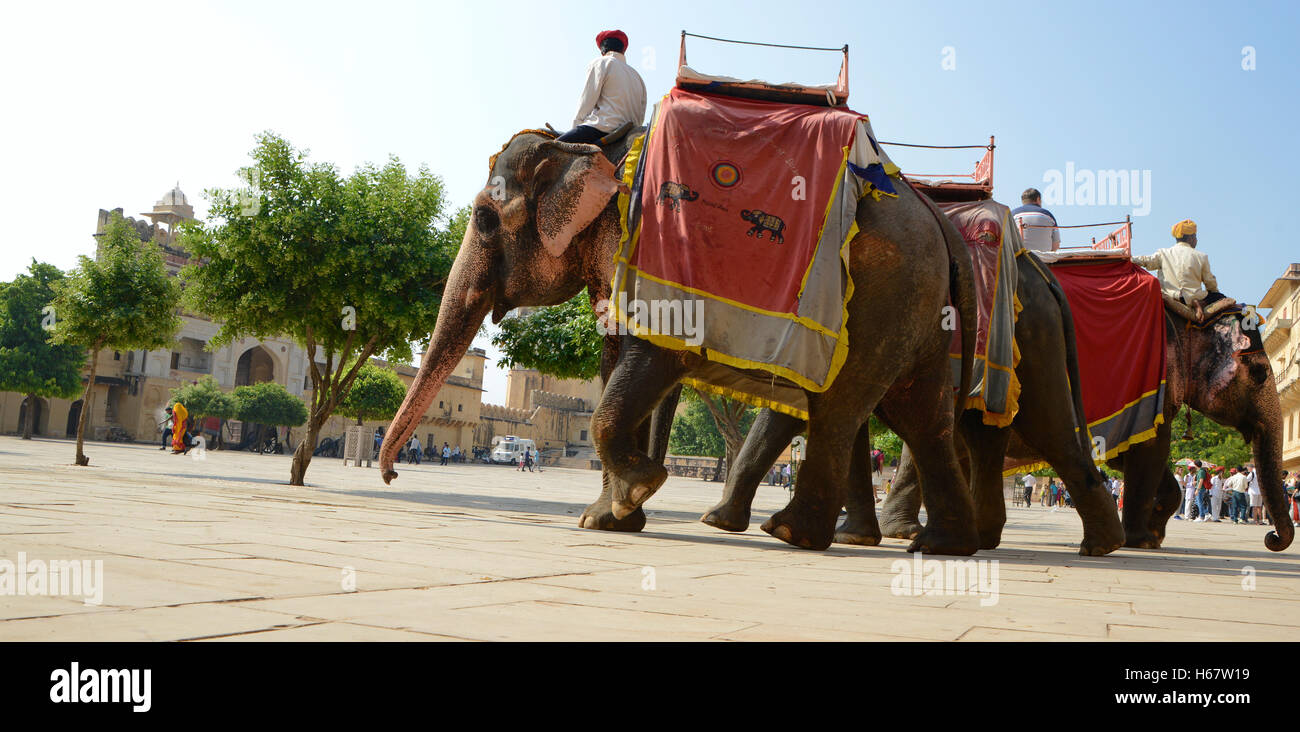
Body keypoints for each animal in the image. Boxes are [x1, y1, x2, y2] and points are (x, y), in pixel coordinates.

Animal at [379, 128, 990, 555]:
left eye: (484, 218)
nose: (391, 473)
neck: (586, 148)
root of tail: (940, 220)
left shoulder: (649, 248)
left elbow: (651, 358)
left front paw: (639, 489)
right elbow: (623, 366)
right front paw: (612, 517)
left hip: (880, 296)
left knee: (841, 407)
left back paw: (791, 533)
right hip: (917, 307)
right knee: (921, 417)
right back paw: (942, 546)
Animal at [698, 249, 1130, 557]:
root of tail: (1043, 272)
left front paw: (727, 523)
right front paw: (853, 537)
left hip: (1030, 337)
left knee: (1045, 428)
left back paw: (1097, 545)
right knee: (986, 434)